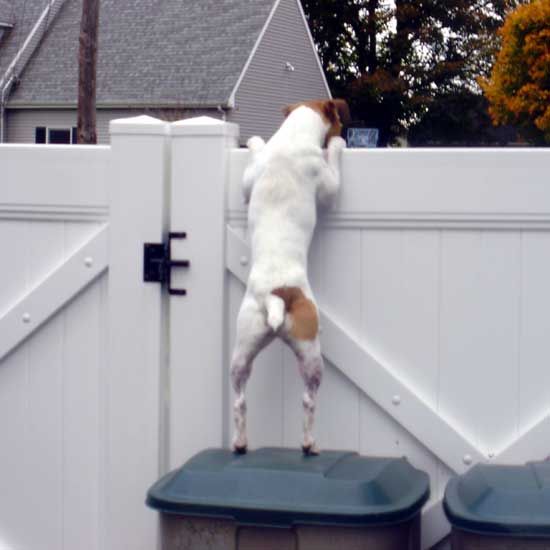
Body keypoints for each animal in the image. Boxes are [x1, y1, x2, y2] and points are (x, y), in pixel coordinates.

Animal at [231, 98, 352, 458]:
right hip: (312, 354)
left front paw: (254, 141)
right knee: (308, 400)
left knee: (239, 400)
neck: (291, 139)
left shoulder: (248, 181)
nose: (343, 133)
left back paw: (240, 442)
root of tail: (277, 296)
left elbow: (249, 173)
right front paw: (337, 145)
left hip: (242, 348)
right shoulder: (328, 185)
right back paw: (309, 444)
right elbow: (333, 176)